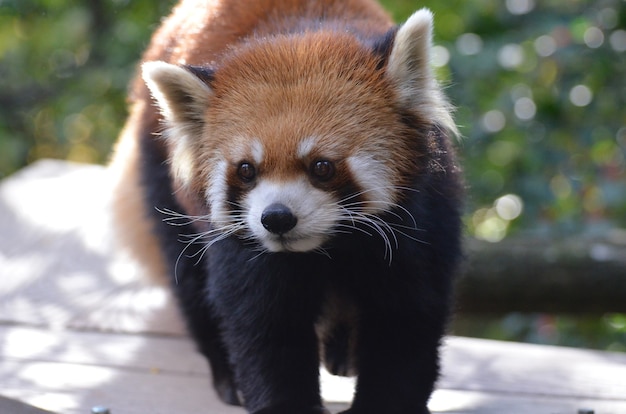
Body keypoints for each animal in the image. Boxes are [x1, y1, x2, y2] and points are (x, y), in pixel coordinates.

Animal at [108, 0, 458, 414]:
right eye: (246, 170)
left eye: (322, 166)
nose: (276, 218)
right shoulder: (245, 250)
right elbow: (265, 327)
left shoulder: (421, 222)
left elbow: (406, 321)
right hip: (162, 178)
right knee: (189, 277)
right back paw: (226, 373)